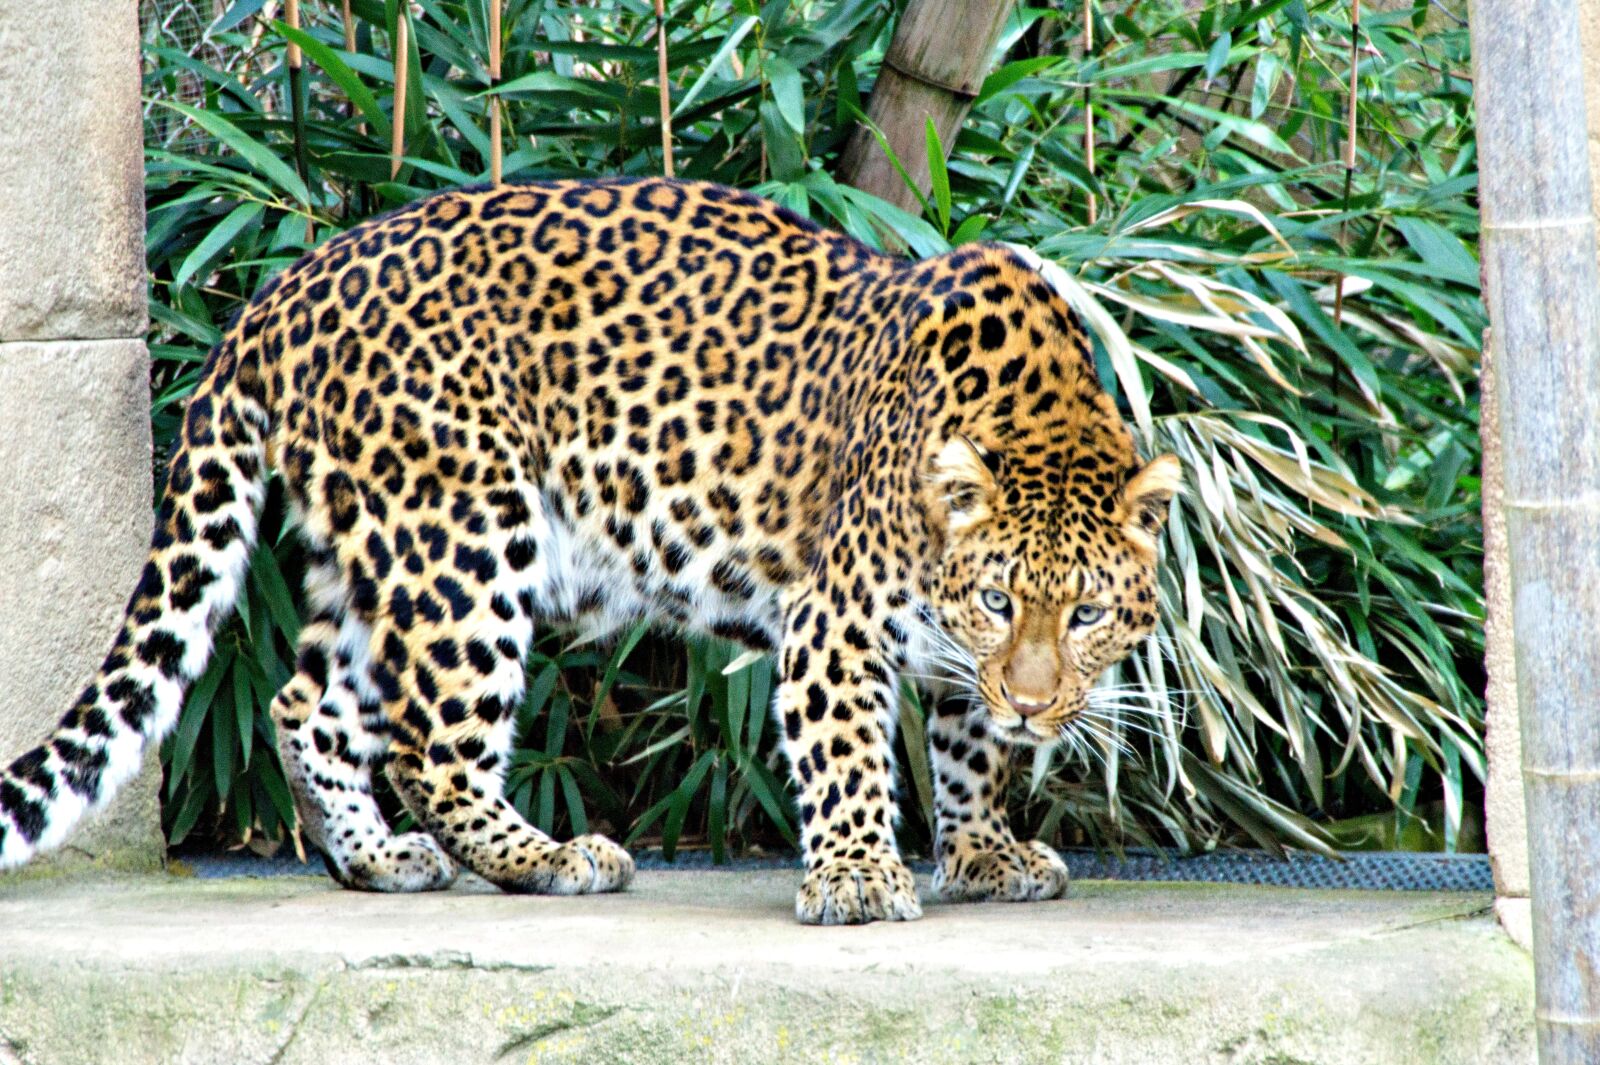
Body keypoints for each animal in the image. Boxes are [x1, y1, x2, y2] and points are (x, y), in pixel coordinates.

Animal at [0, 177, 1179, 925]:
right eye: (998, 599)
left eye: (1084, 614)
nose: (1037, 700)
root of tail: (286, 288)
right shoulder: (836, 619)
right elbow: (847, 748)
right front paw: (854, 878)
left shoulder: (954, 663)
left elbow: (970, 746)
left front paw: (982, 850)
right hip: (465, 536)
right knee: (433, 745)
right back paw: (549, 855)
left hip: (369, 550)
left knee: (308, 703)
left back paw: (375, 859)